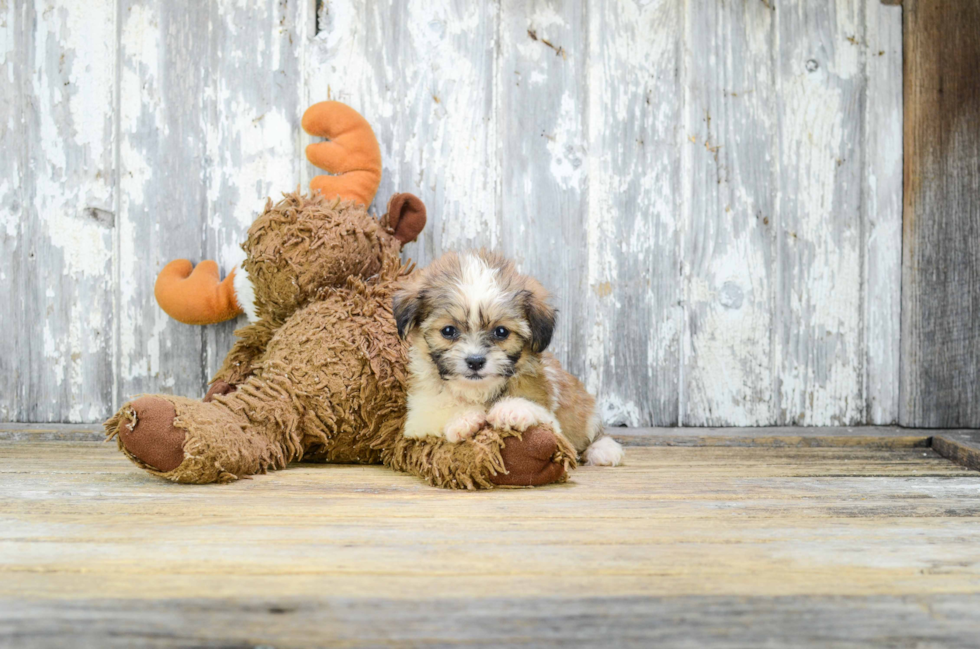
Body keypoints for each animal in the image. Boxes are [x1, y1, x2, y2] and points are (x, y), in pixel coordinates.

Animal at [394, 248, 624, 466]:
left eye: (501, 332)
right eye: (448, 331)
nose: (475, 361)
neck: (477, 391)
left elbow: (539, 413)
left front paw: (511, 409)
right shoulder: (418, 419)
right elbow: (434, 417)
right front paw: (464, 419)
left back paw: (603, 450)